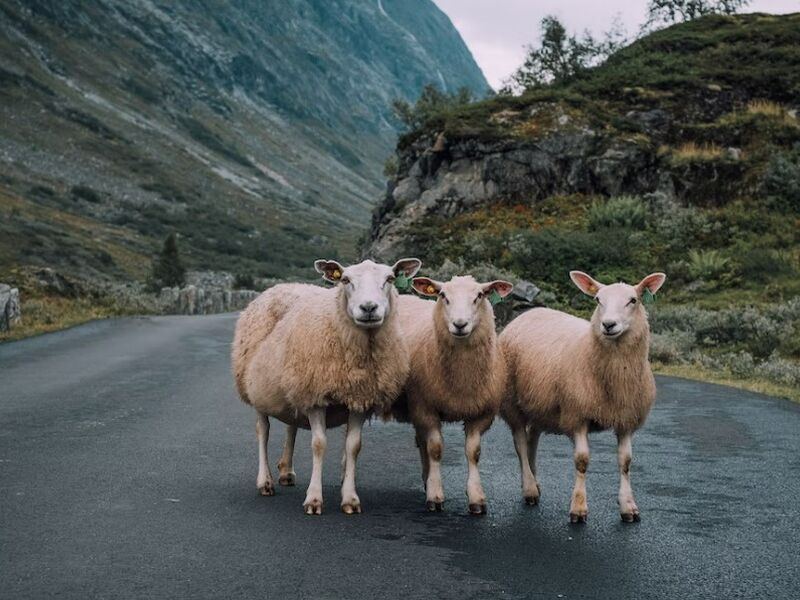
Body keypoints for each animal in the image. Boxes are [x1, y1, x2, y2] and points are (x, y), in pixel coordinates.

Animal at [231, 255, 422, 512]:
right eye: (345, 280)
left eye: (390, 279)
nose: (369, 308)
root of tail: (282, 286)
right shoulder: (316, 397)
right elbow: (319, 444)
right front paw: (314, 499)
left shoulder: (359, 398)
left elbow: (353, 445)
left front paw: (350, 498)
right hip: (256, 388)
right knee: (263, 430)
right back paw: (265, 482)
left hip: (294, 384)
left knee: (291, 426)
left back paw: (286, 471)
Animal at [398, 274, 516, 512]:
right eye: (443, 295)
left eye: (479, 296)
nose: (460, 324)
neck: (462, 380)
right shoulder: (426, 408)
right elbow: (435, 449)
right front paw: (435, 496)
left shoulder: (481, 413)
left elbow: (473, 452)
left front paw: (476, 497)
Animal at [500, 270, 668, 524]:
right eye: (598, 300)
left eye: (633, 300)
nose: (608, 324)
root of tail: (530, 312)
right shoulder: (577, 415)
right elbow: (582, 461)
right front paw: (578, 508)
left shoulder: (626, 420)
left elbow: (626, 462)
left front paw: (628, 507)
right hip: (513, 404)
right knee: (520, 442)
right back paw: (529, 489)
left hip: (540, 405)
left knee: (532, 441)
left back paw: (534, 482)